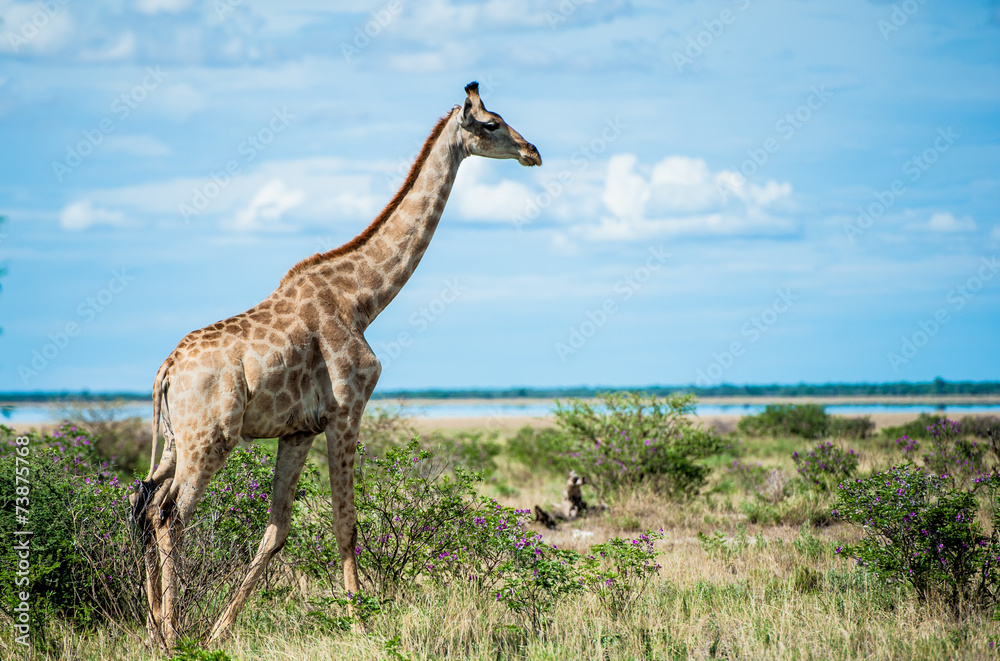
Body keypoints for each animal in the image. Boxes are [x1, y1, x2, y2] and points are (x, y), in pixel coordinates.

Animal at [129, 82, 541, 648]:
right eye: (492, 123)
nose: (533, 152)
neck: (362, 299)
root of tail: (164, 373)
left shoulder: (299, 429)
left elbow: (277, 530)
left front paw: (220, 631)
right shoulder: (347, 410)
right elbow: (345, 522)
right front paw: (360, 620)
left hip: (175, 439)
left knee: (144, 502)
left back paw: (153, 627)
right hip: (209, 438)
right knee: (169, 514)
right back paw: (172, 632)